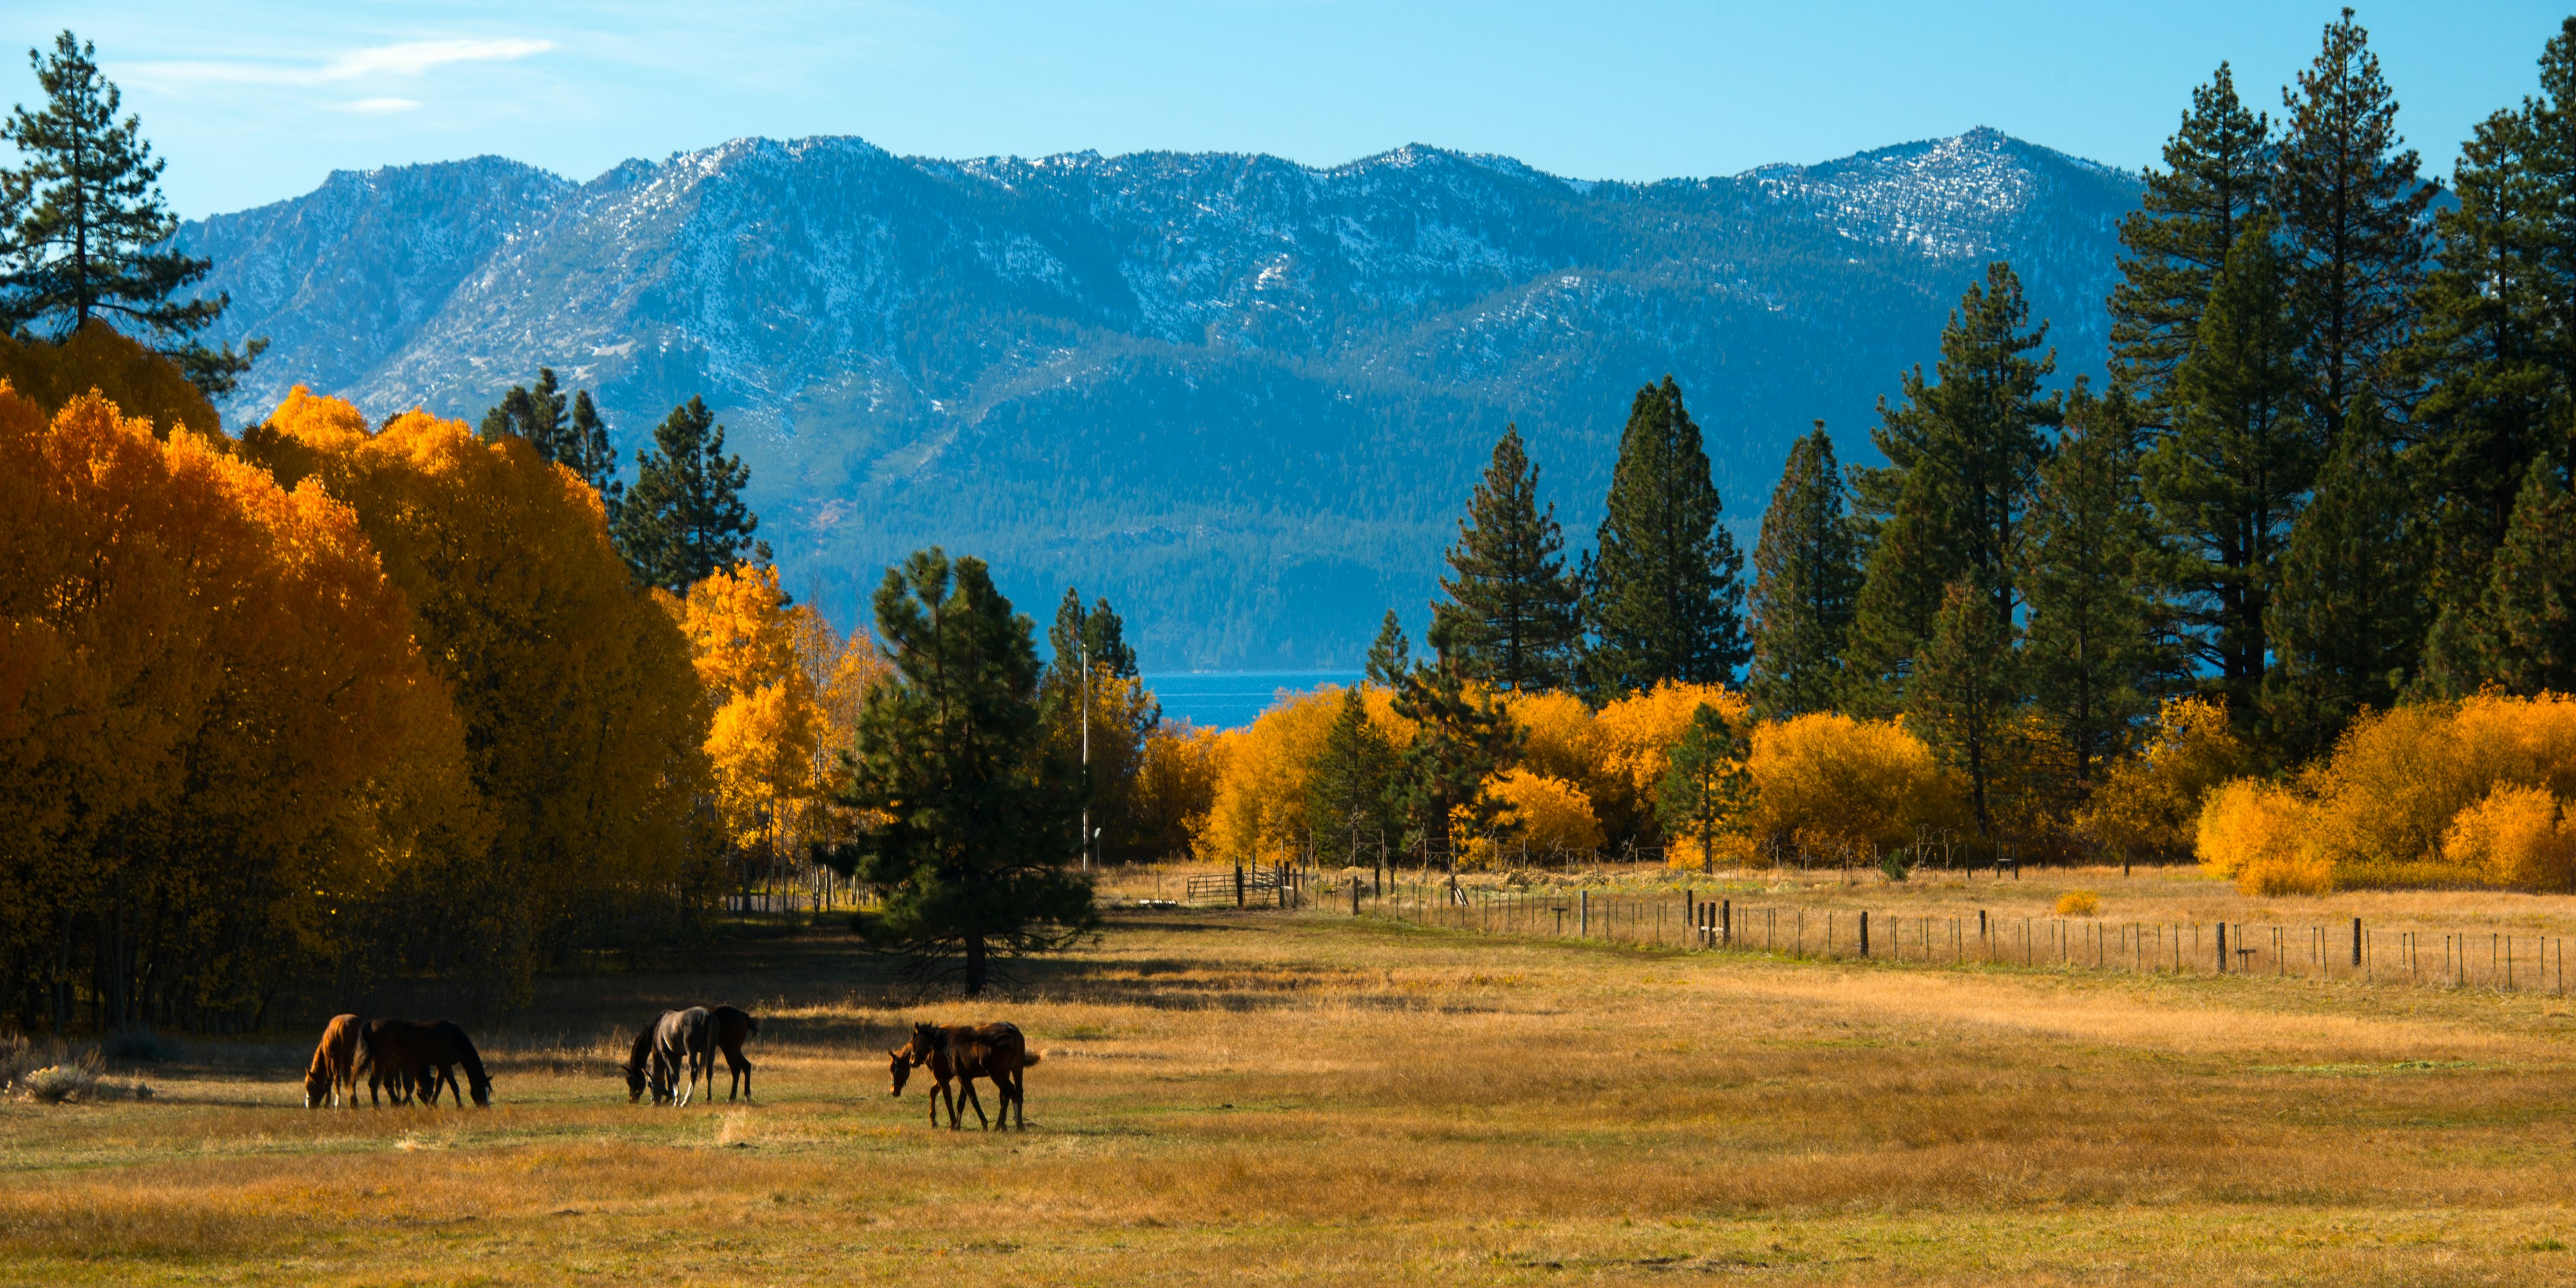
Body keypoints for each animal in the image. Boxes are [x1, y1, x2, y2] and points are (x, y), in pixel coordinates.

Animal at [303, 1014, 366, 1108]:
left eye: (311, 1086)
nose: (309, 1105)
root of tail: (345, 1025)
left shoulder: (328, 1059)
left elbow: (330, 1080)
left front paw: (327, 1103)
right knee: (353, 1078)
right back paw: (353, 1102)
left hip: (335, 1060)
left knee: (337, 1079)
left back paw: (337, 1103)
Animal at [710, 1004, 757, 1097]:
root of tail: (742, 1015)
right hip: (734, 1049)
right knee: (745, 1066)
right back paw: (745, 1094)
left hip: (729, 1049)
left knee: (736, 1069)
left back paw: (732, 1096)